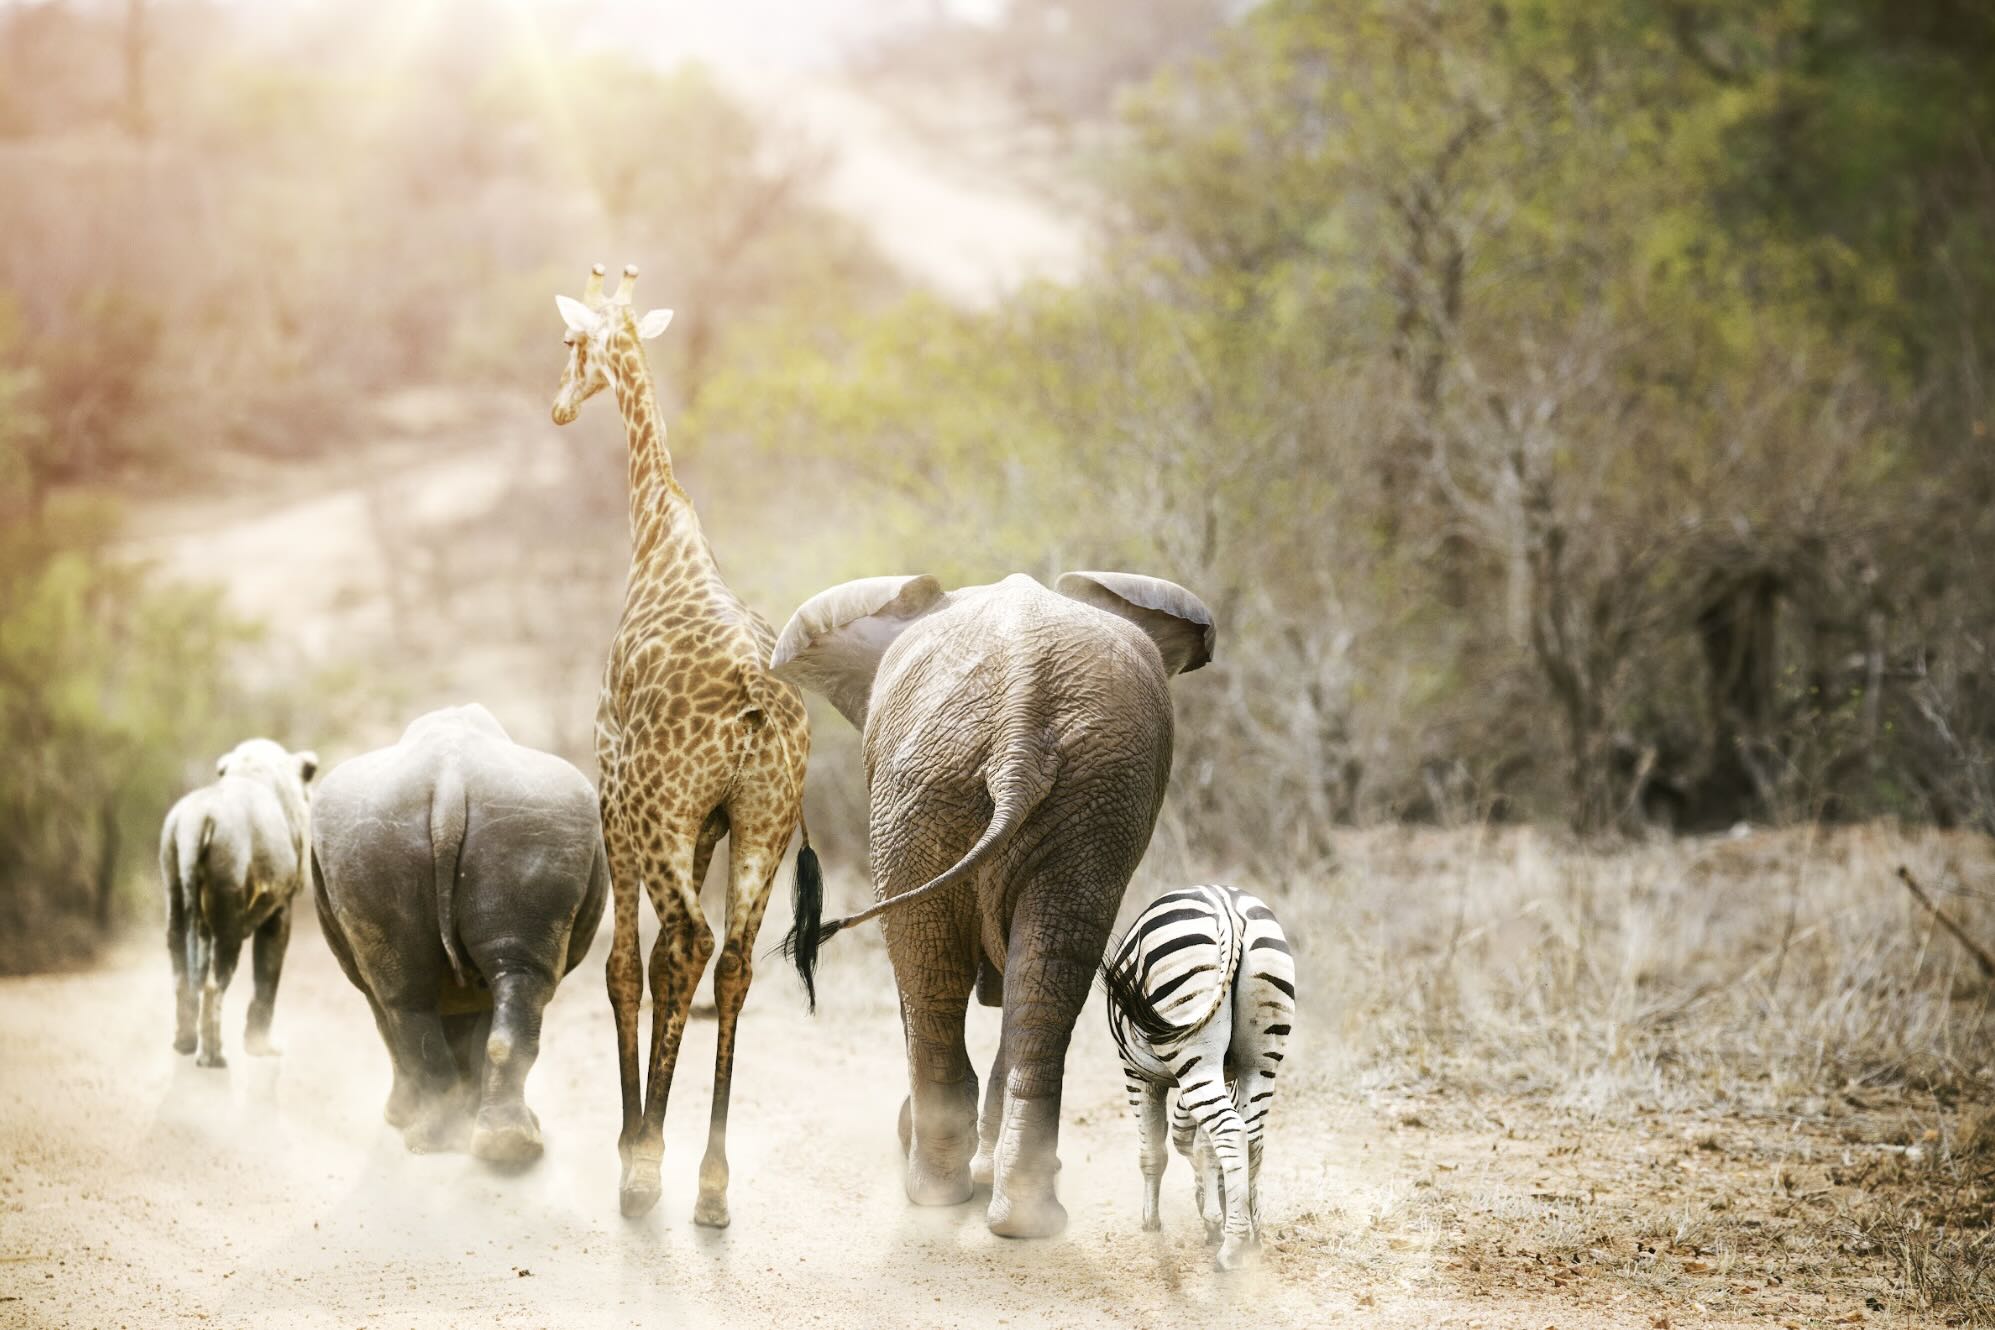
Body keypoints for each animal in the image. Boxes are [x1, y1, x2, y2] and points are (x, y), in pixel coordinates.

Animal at [311, 704, 608, 1162]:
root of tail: (450, 780)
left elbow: (399, 1025)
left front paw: (404, 1116)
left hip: (394, 834)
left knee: (406, 999)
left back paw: (437, 1140)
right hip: (523, 825)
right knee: (504, 980)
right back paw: (506, 1146)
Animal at [551, 262, 818, 1225]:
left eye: (571, 342)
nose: (558, 407)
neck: (657, 532)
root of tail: (754, 702)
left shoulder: (614, 792)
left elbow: (627, 967)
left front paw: (632, 1144)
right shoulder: (706, 823)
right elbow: (668, 968)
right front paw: (651, 1142)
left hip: (669, 815)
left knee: (694, 947)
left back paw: (649, 1171)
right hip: (764, 823)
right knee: (732, 961)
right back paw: (710, 1182)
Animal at [771, 570, 1213, 1239]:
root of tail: (1020, 727)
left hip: (945, 789)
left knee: (939, 972)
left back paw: (942, 1192)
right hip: (1040, 793)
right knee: (1035, 970)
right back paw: (1015, 1216)